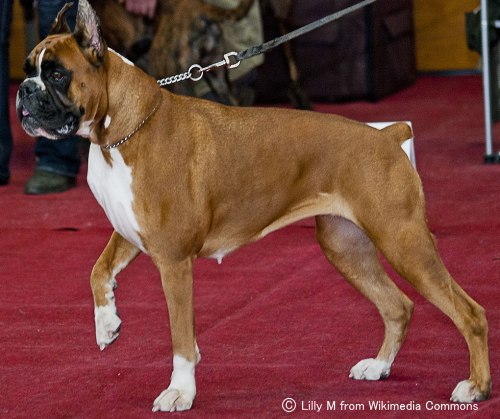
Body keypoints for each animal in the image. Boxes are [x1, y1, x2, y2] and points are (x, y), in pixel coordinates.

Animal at [16, 0, 492, 414]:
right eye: (27, 70)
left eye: (56, 74)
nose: (22, 90)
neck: (120, 132)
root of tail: (386, 135)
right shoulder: (130, 233)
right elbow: (98, 271)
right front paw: (107, 323)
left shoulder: (173, 260)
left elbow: (180, 337)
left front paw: (180, 392)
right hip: (346, 247)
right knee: (398, 306)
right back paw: (379, 367)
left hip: (403, 241)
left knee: (470, 313)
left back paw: (477, 387)